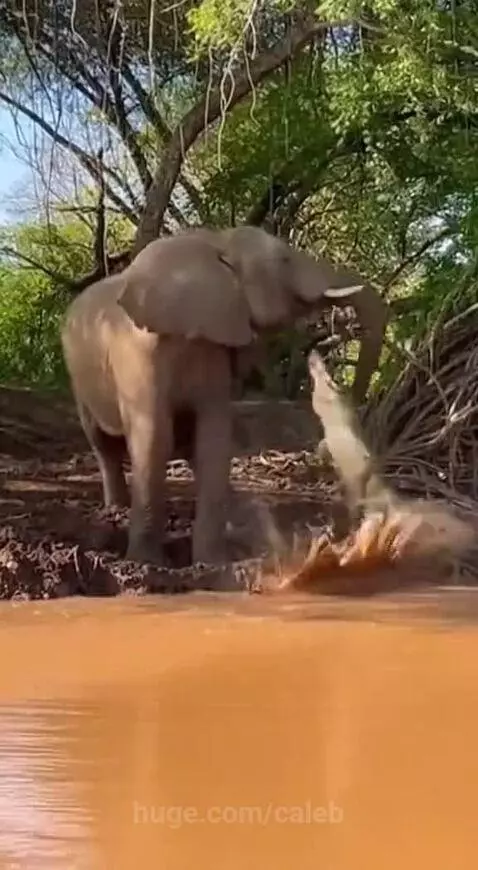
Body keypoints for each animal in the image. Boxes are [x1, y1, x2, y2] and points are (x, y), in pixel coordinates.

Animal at [61, 225, 388, 568]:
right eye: (285, 260)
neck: (215, 242)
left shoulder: (214, 348)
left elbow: (213, 440)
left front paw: (210, 563)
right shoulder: (140, 352)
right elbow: (155, 439)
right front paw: (148, 563)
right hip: (76, 373)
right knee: (102, 442)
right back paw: (117, 509)